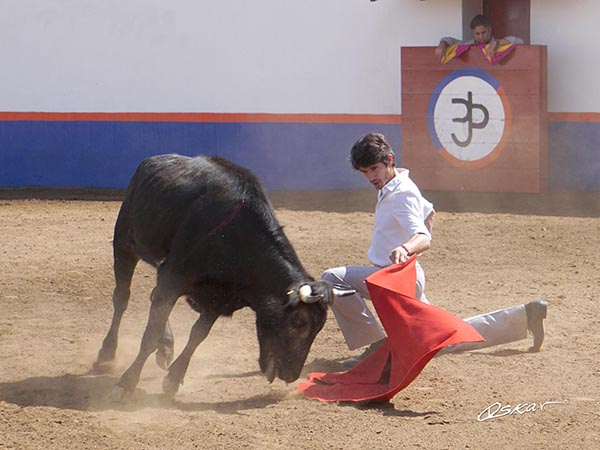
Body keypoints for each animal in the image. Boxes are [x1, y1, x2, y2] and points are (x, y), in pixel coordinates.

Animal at [95, 156, 352, 400]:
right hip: (124, 244)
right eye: (299, 322)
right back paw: (107, 352)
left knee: (153, 298)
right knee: (122, 298)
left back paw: (165, 349)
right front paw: (126, 384)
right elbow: (151, 334)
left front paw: (173, 379)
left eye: (319, 327)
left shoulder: (217, 299)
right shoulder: (172, 278)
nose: (291, 375)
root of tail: (150, 162)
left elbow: (197, 335)